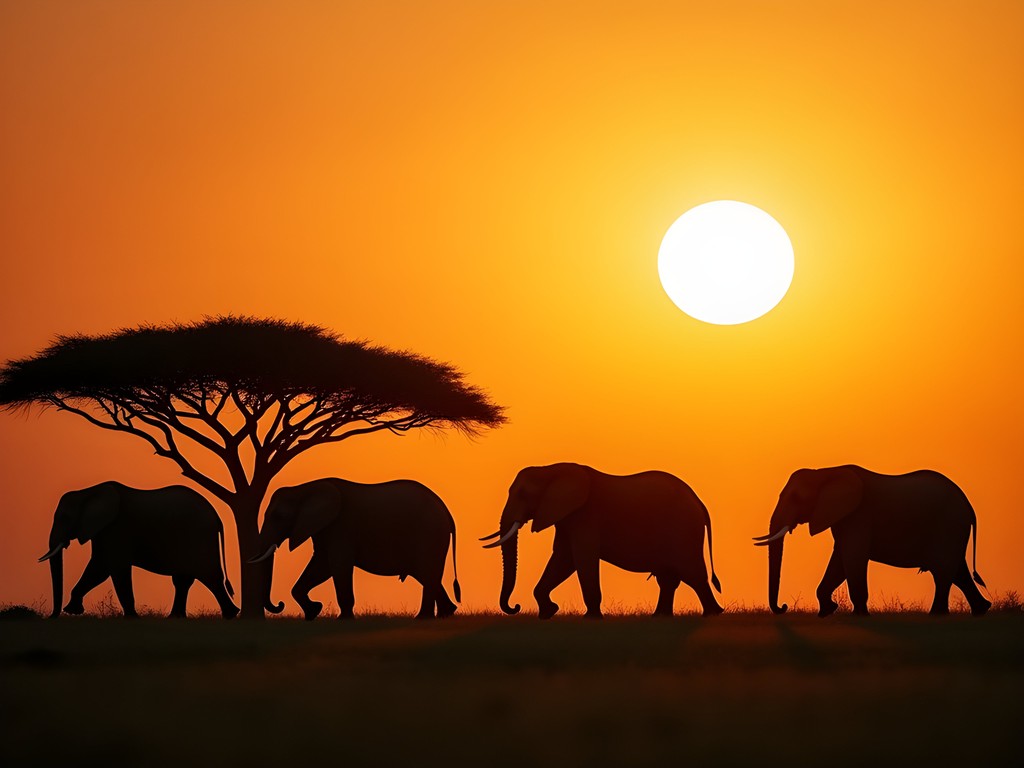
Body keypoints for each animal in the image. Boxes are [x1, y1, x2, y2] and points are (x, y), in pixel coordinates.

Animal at [37, 481, 239, 619]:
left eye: (64, 518)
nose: (52, 616)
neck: (87, 491)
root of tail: (217, 517)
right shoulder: (104, 530)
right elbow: (101, 567)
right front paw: (73, 611)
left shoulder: (116, 529)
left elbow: (107, 568)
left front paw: (131, 618)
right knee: (184, 579)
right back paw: (176, 618)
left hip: (199, 535)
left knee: (209, 575)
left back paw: (230, 615)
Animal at [250, 477, 461, 620]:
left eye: (278, 516)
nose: (279, 604)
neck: (304, 488)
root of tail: (448, 512)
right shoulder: (323, 527)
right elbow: (321, 565)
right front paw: (313, 612)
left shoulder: (341, 527)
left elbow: (338, 565)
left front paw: (343, 619)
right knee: (425, 574)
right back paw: (445, 613)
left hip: (430, 532)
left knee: (427, 571)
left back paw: (423, 618)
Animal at [483, 463, 723, 619]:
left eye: (523, 494)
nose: (515, 607)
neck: (551, 469)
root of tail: (700, 503)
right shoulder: (568, 517)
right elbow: (562, 558)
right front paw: (548, 612)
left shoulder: (586, 515)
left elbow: (581, 558)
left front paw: (591, 618)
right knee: (669, 578)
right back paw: (660, 617)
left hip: (683, 529)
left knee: (693, 574)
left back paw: (713, 614)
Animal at [754, 465, 991, 617]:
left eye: (796, 498)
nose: (784, 607)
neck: (825, 472)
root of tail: (969, 505)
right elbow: (839, 561)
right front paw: (827, 611)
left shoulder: (859, 515)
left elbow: (852, 559)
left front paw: (859, 615)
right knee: (958, 572)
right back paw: (982, 610)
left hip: (949, 525)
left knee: (943, 572)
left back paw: (937, 616)